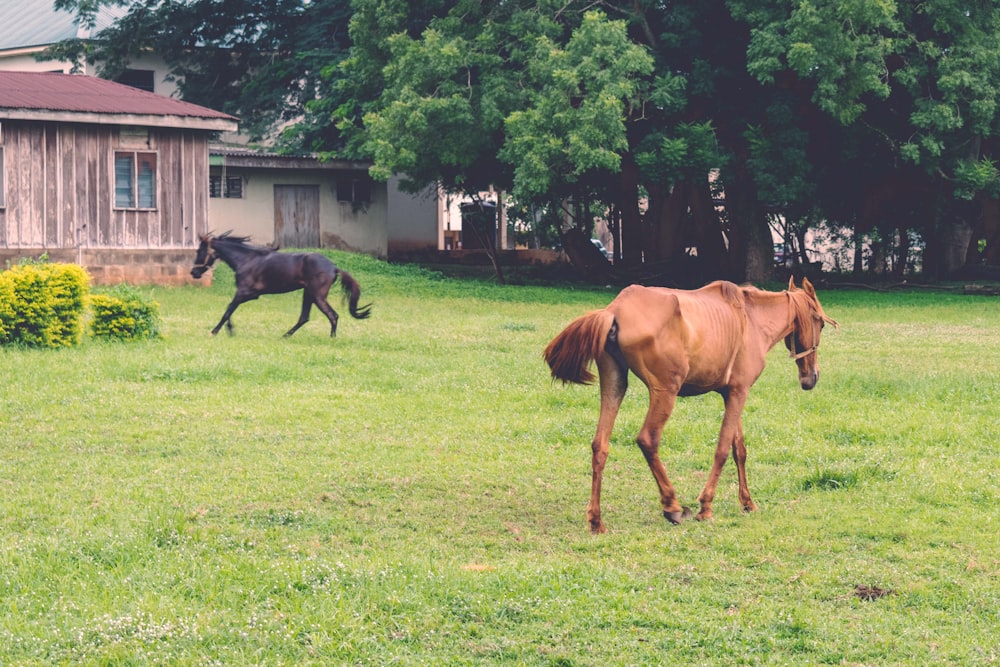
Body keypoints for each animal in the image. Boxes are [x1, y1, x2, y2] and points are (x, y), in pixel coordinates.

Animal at [190, 235, 372, 340]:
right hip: (308, 294)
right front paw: (229, 330)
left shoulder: (246, 293)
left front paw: (215, 331)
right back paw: (285, 336)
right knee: (304, 318)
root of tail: (334, 267)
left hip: (317, 296)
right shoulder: (246, 294)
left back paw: (331, 339)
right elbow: (230, 310)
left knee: (332, 315)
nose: (194, 272)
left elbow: (228, 310)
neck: (246, 260)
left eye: (200, 251)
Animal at [548, 276, 836, 532]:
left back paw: (596, 520)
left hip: (614, 383)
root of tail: (615, 310)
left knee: (600, 446)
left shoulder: (732, 394)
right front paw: (705, 507)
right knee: (647, 440)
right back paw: (672, 506)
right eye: (820, 324)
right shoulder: (739, 393)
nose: (812, 378)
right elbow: (722, 450)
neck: (752, 320)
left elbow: (739, 450)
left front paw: (747, 502)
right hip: (665, 392)